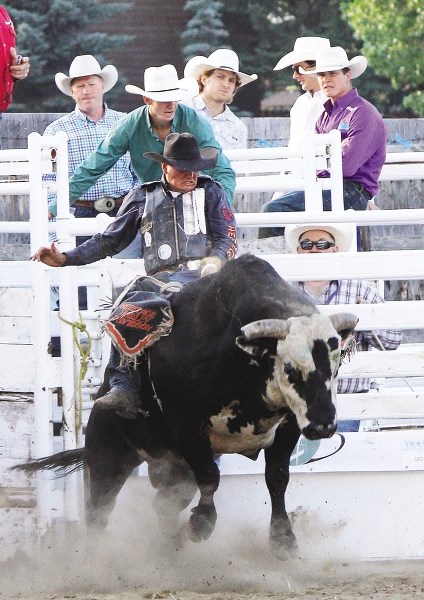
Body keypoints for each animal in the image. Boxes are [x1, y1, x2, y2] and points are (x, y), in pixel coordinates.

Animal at [14, 252, 356, 556]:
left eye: (335, 367)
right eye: (290, 368)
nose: (325, 424)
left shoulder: (289, 424)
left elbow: (277, 477)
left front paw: (283, 540)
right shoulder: (187, 424)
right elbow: (210, 477)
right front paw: (201, 524)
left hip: (173, 467)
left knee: (164, 504)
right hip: (107, 454)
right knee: (99, 509)